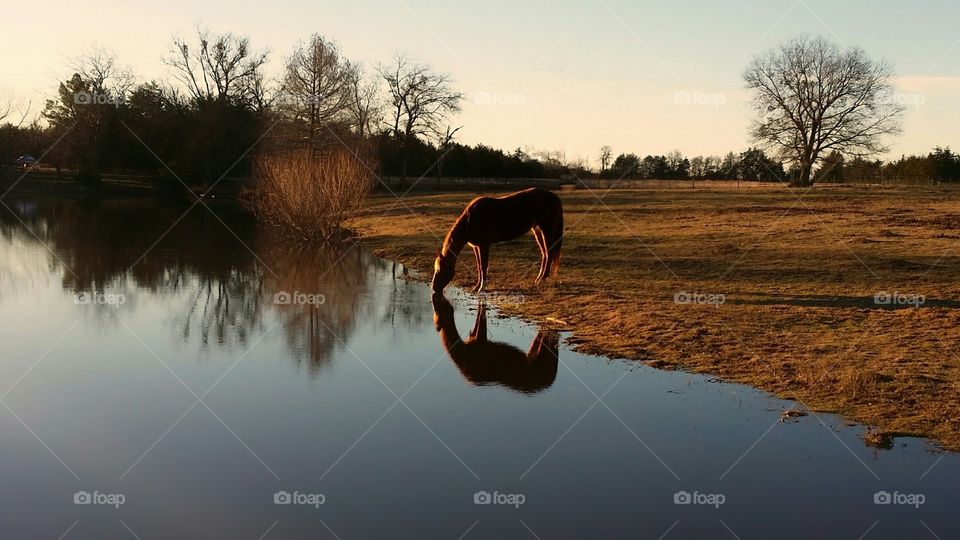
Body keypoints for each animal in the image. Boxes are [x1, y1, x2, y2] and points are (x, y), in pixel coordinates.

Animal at [431, 187, 563, 293]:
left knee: (549, 253)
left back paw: (543, 279)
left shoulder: (483, 246)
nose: (434, 288)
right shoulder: (476, 247)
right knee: (545, 253)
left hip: (546, 230)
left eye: (439, 270)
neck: (470, 220)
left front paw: (482, 288)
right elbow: (479, 266)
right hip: (537, 231)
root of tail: (554, 197)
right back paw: (538, 278)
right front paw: (477, 287)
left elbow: (483, 266)